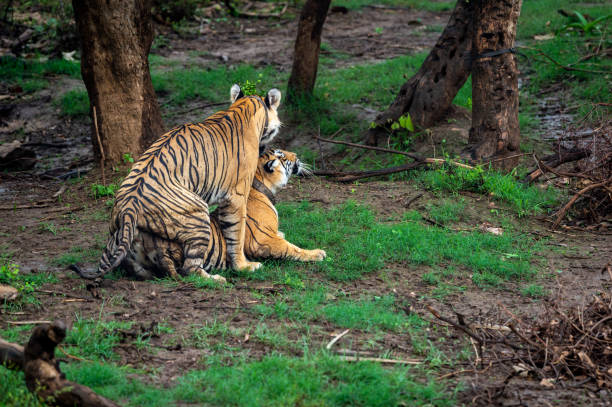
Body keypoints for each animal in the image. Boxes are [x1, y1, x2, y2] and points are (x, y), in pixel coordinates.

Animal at [73, 84, 282, 282]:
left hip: (118, 233)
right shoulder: (236, 196)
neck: (244, 106)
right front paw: (244, 266)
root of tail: (130, 205)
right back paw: (216, 279)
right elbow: (236, 232)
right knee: (190, 268)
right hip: (198, 214)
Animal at [118, 149, 326, 284]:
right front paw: (317, 253)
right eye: (282, 157)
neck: (261, 186)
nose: (296, 155)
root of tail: (151, 243)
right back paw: (221, 278)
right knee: (191, 271)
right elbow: (293, 249)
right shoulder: (262, 240)